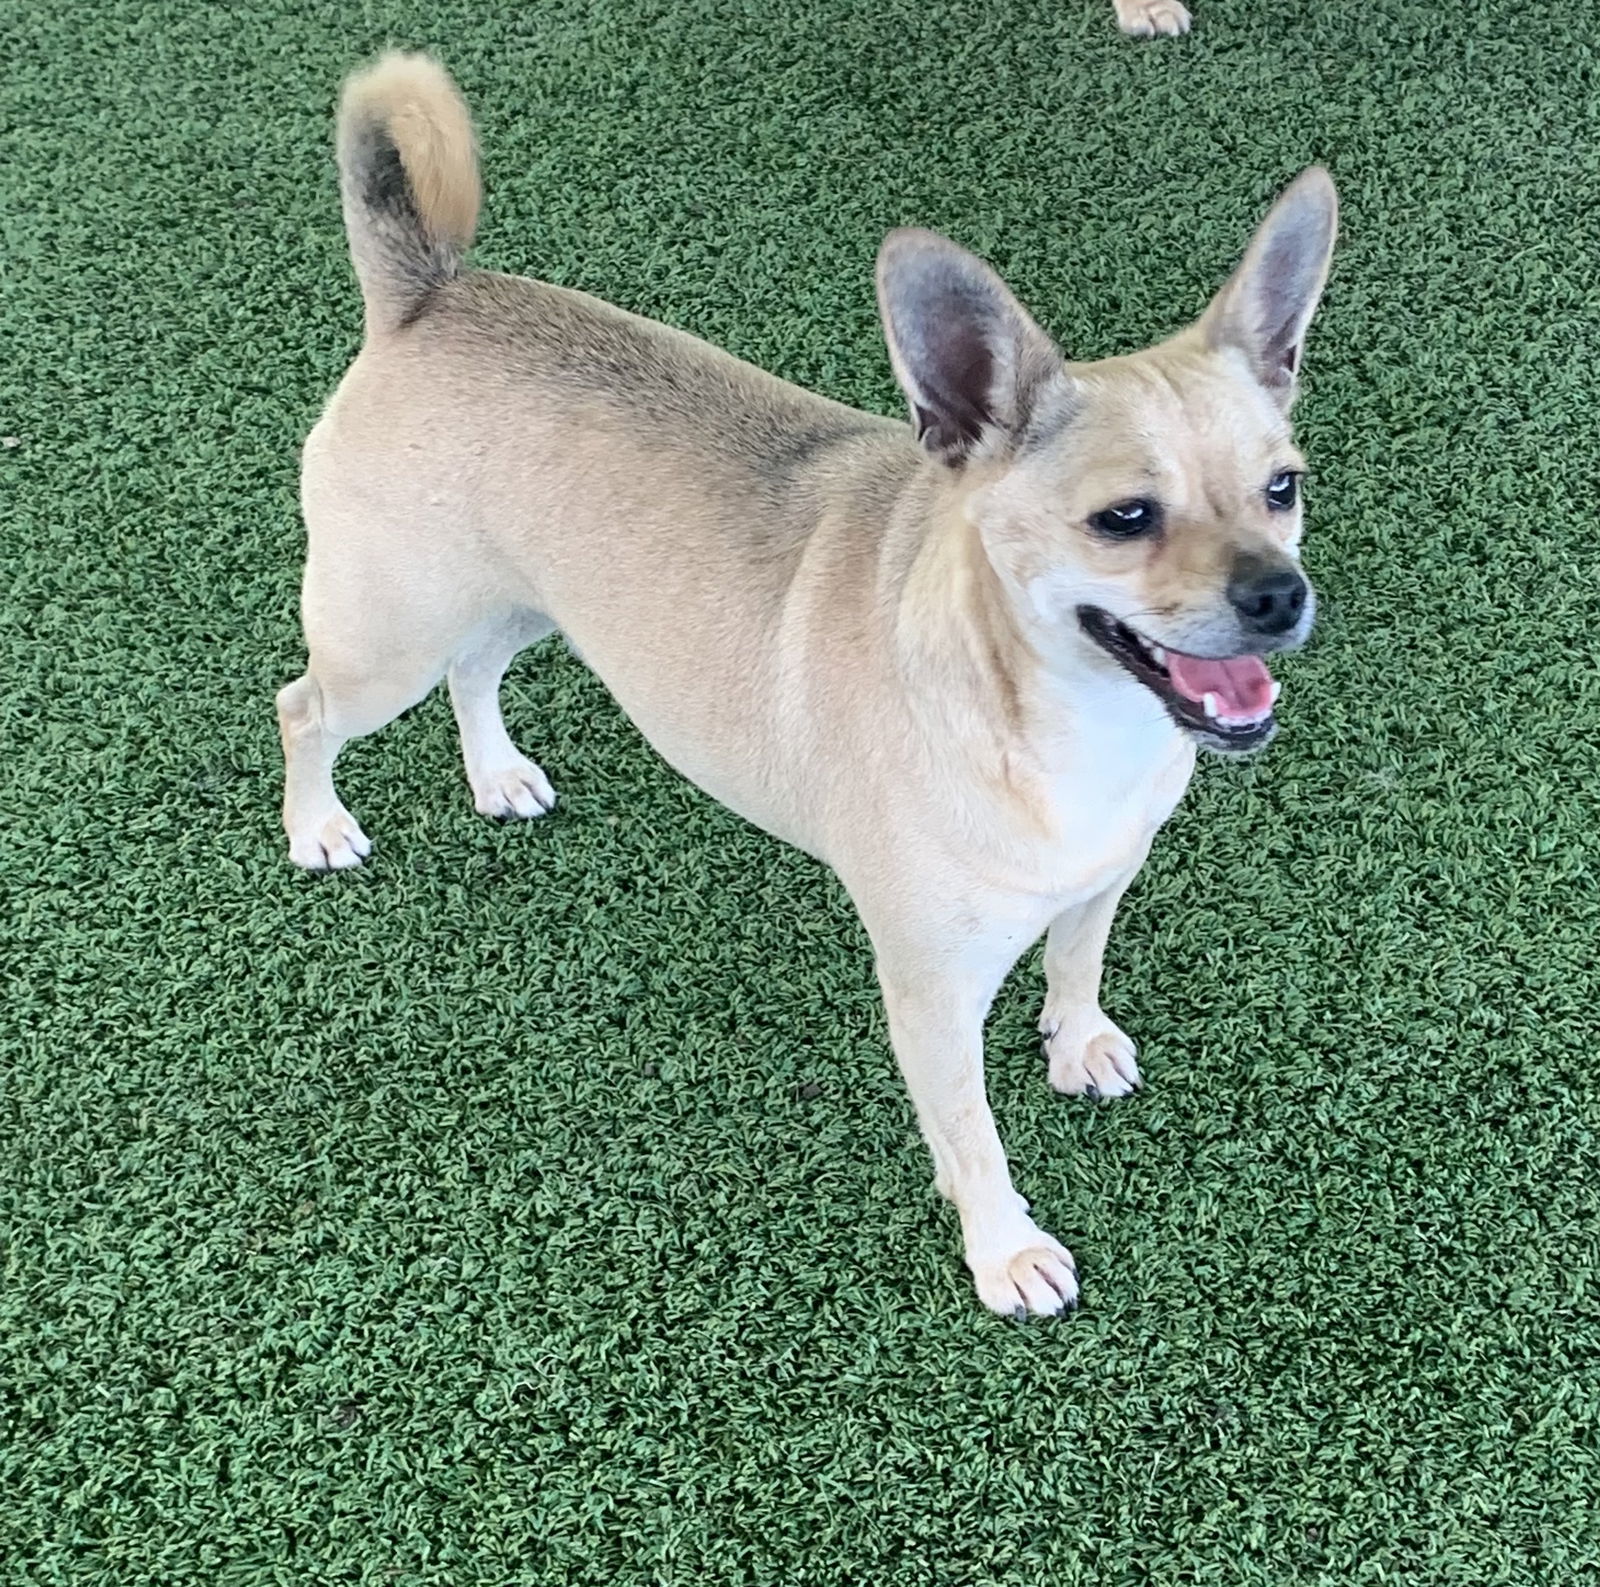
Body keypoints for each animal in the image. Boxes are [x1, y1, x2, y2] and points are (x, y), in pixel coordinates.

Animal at [278, 52, 1337, 1311]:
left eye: (1282, 488)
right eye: (1124, 519)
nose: (1279, 594)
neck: (1071, 727)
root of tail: (428, 292)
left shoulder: (1102, 880)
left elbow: (1076, 960)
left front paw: (1076, 1042)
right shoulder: (930, 995)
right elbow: (971, 1135)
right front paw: (1005, 1248)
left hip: (522, 600)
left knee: (473, 669)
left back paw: (496, 775)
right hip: (385, 636)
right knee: (306, 708)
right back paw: (316, 827)